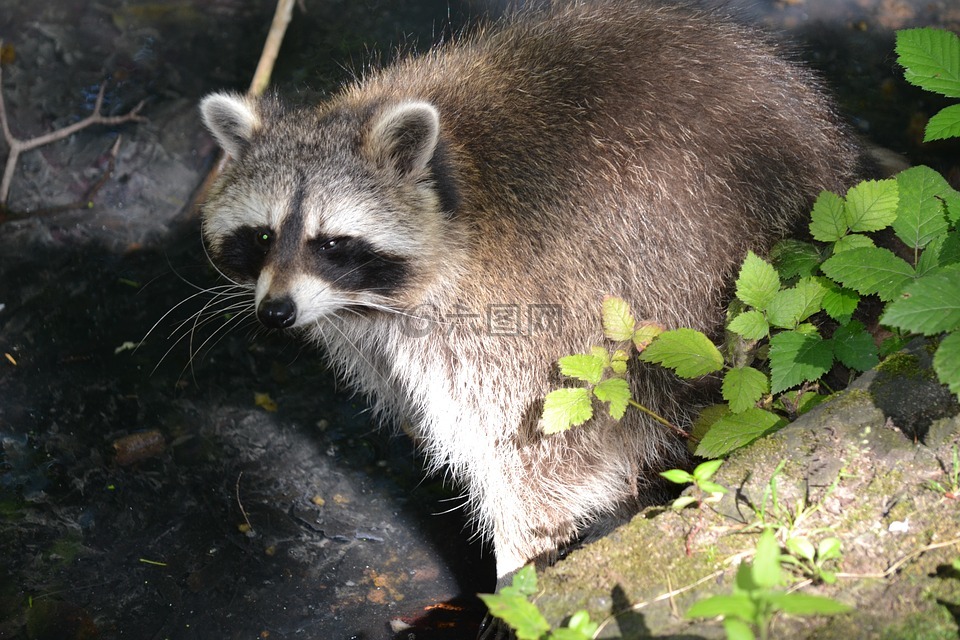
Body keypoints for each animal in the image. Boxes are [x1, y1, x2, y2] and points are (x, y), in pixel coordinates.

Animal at [199, 0, 868, 580]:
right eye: (262, 236)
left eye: (332, 244)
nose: (275, 312)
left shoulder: (516, 315)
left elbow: (539, 459)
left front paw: (518, 574)